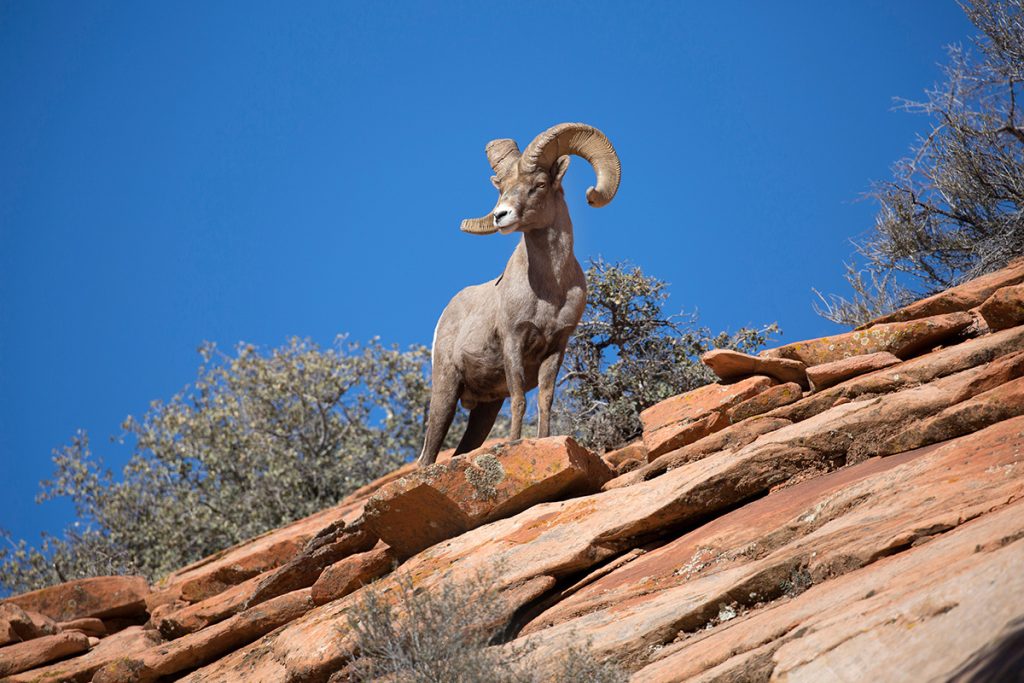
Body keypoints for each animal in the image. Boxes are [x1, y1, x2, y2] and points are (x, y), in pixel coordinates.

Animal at [417, 121, 622, 464]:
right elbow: (519, 400)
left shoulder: (556, 347)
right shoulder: (514, 341)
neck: (549, 292)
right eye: (501, 188)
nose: (501, 215)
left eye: (538, 184)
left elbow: (544, 399)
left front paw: (543, 440)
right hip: (446, 388)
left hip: (485, 408)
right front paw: (514, 444)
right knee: (427, 454)